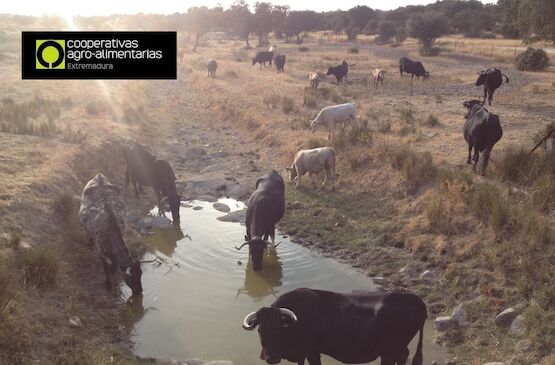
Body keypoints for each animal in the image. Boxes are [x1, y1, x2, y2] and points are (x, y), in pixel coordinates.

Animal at [241, 288, 428, 364]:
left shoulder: (312, 351)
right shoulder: (301, 354)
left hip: (389, 351)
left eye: (279, 328)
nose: (271, 358)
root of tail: (411, 298)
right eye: (260, 330)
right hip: (398, 348)